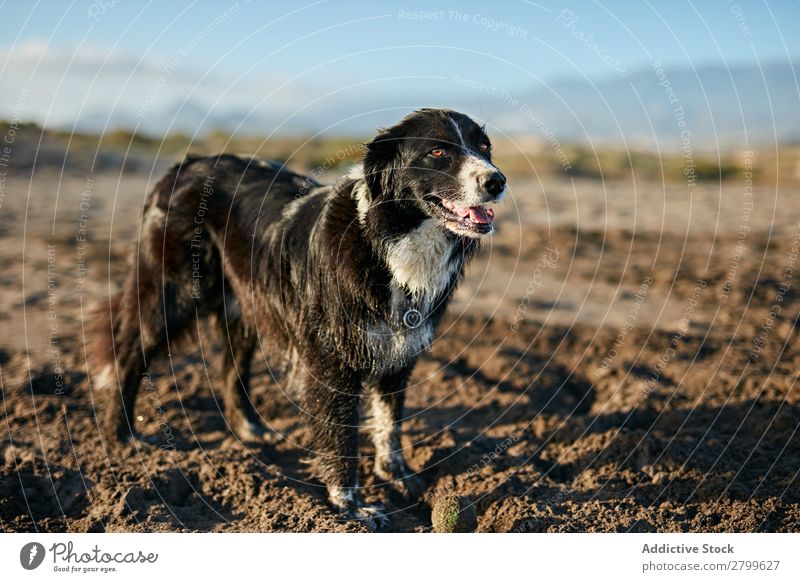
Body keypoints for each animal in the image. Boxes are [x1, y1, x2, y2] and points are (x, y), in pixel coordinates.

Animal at [89, 107, 506, 528]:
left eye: (484, 147)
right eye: (438, 152)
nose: (497, 180)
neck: (385, 241)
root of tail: (185, 164)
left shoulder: (398, 355)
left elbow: (389, 425)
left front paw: (398, 478)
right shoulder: (332, 362)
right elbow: (341, 438)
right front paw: (350, 508)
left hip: (245, 303)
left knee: (230, 369)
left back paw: (250, 430)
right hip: (169, 294)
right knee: (130, 353)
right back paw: (121, 438)